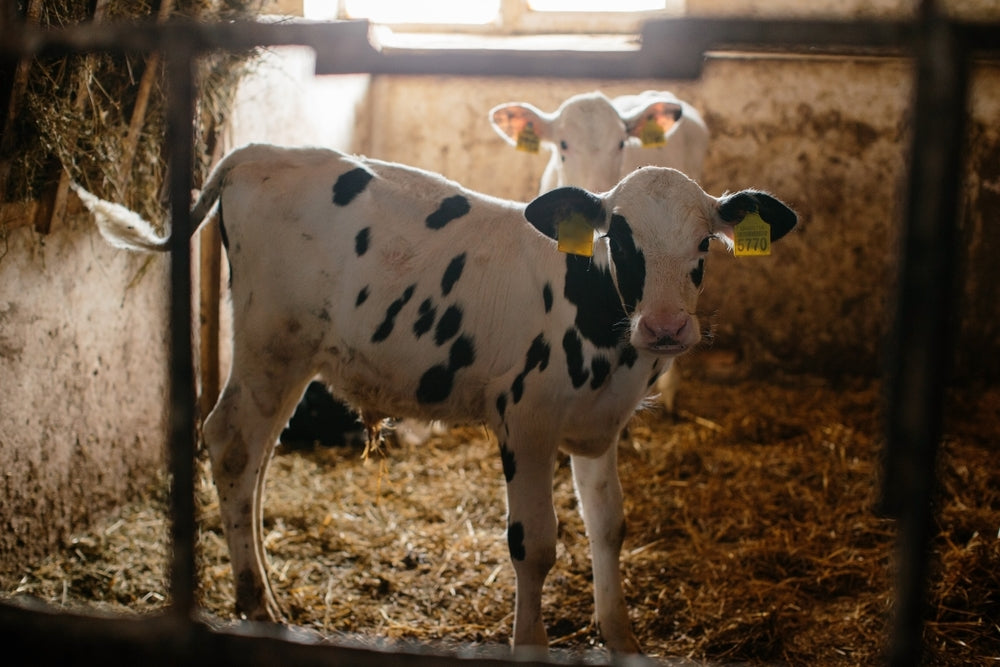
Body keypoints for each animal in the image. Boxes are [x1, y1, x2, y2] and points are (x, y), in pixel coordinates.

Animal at [74, 143, 796, 655]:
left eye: (703, 244)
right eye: (621, 238)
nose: (667, 326)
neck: (601, 324)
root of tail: (259, 152)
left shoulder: (598, 428)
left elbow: (609, 526)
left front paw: (621, 639)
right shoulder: (524, 421)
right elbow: (535, 544)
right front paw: (530, 645)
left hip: (290, 355)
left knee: (254, 457)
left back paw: (264, 597)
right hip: (270, 340)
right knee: (231, 443)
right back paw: (256, 602)